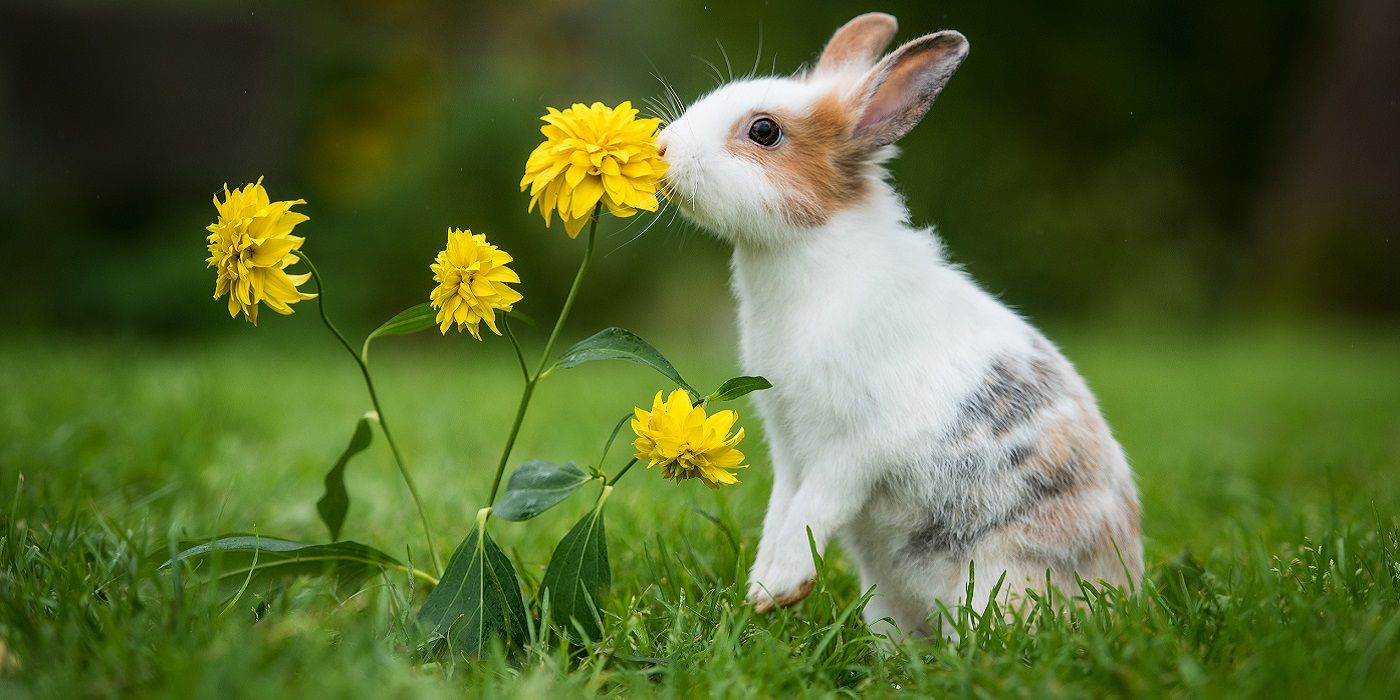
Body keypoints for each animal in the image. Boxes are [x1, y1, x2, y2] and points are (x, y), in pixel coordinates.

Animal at [655, 12, 1143, 638]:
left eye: (763, 131)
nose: (662, 148)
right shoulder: (788, 445)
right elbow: (782, 509)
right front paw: (763, 590)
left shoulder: (851, 446)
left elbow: (814, 509)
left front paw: (775, 589)